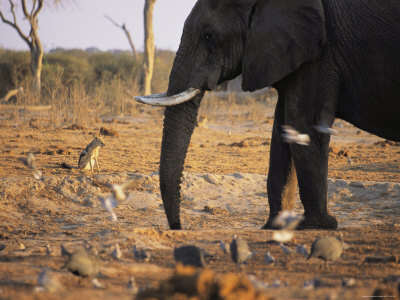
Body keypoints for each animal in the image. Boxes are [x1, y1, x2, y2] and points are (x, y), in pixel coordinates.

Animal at [138, 0, 400, 230]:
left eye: (209, 36)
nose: (179, 227)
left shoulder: (320, 54)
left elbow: (302, 123)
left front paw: (318, 225)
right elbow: (283, 131)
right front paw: (276, 225)